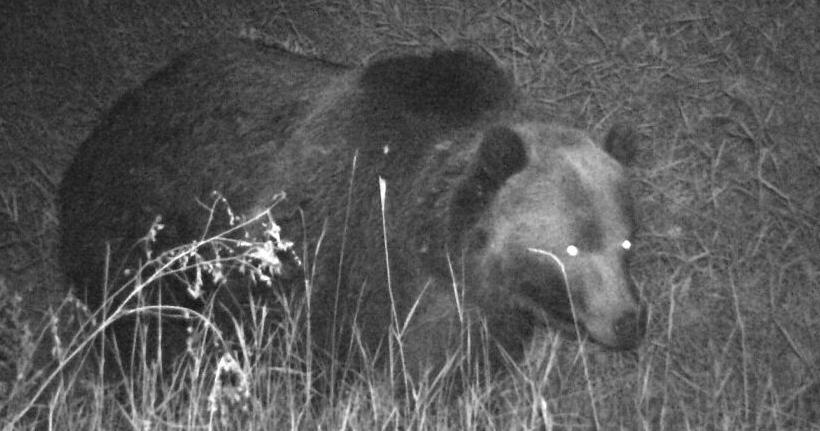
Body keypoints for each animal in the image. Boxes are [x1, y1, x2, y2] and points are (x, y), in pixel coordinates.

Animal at [58, 38, 646, 388]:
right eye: (572, 245)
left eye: (626, 243)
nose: (629, 320)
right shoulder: (333, 260)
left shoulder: (463, 308)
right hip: (141, 239)